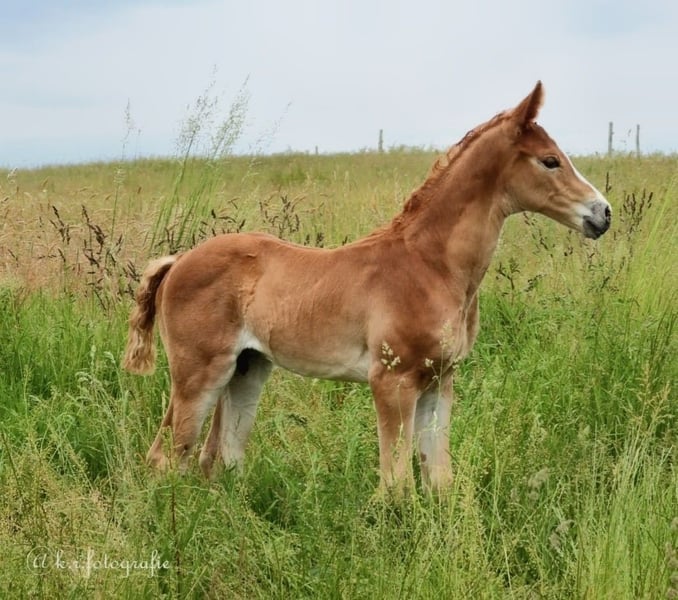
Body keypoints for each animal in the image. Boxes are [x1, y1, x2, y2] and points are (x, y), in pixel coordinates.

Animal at [123, 82, 611, 495]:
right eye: (550, 160)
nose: (602, 213)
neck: (430, 267)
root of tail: (178, 260)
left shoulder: (440, 381)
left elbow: (438, 478)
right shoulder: (392, 382)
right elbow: (396, 484)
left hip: (247, 369)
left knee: (219, 456)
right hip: (199, 373)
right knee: (168, 456)